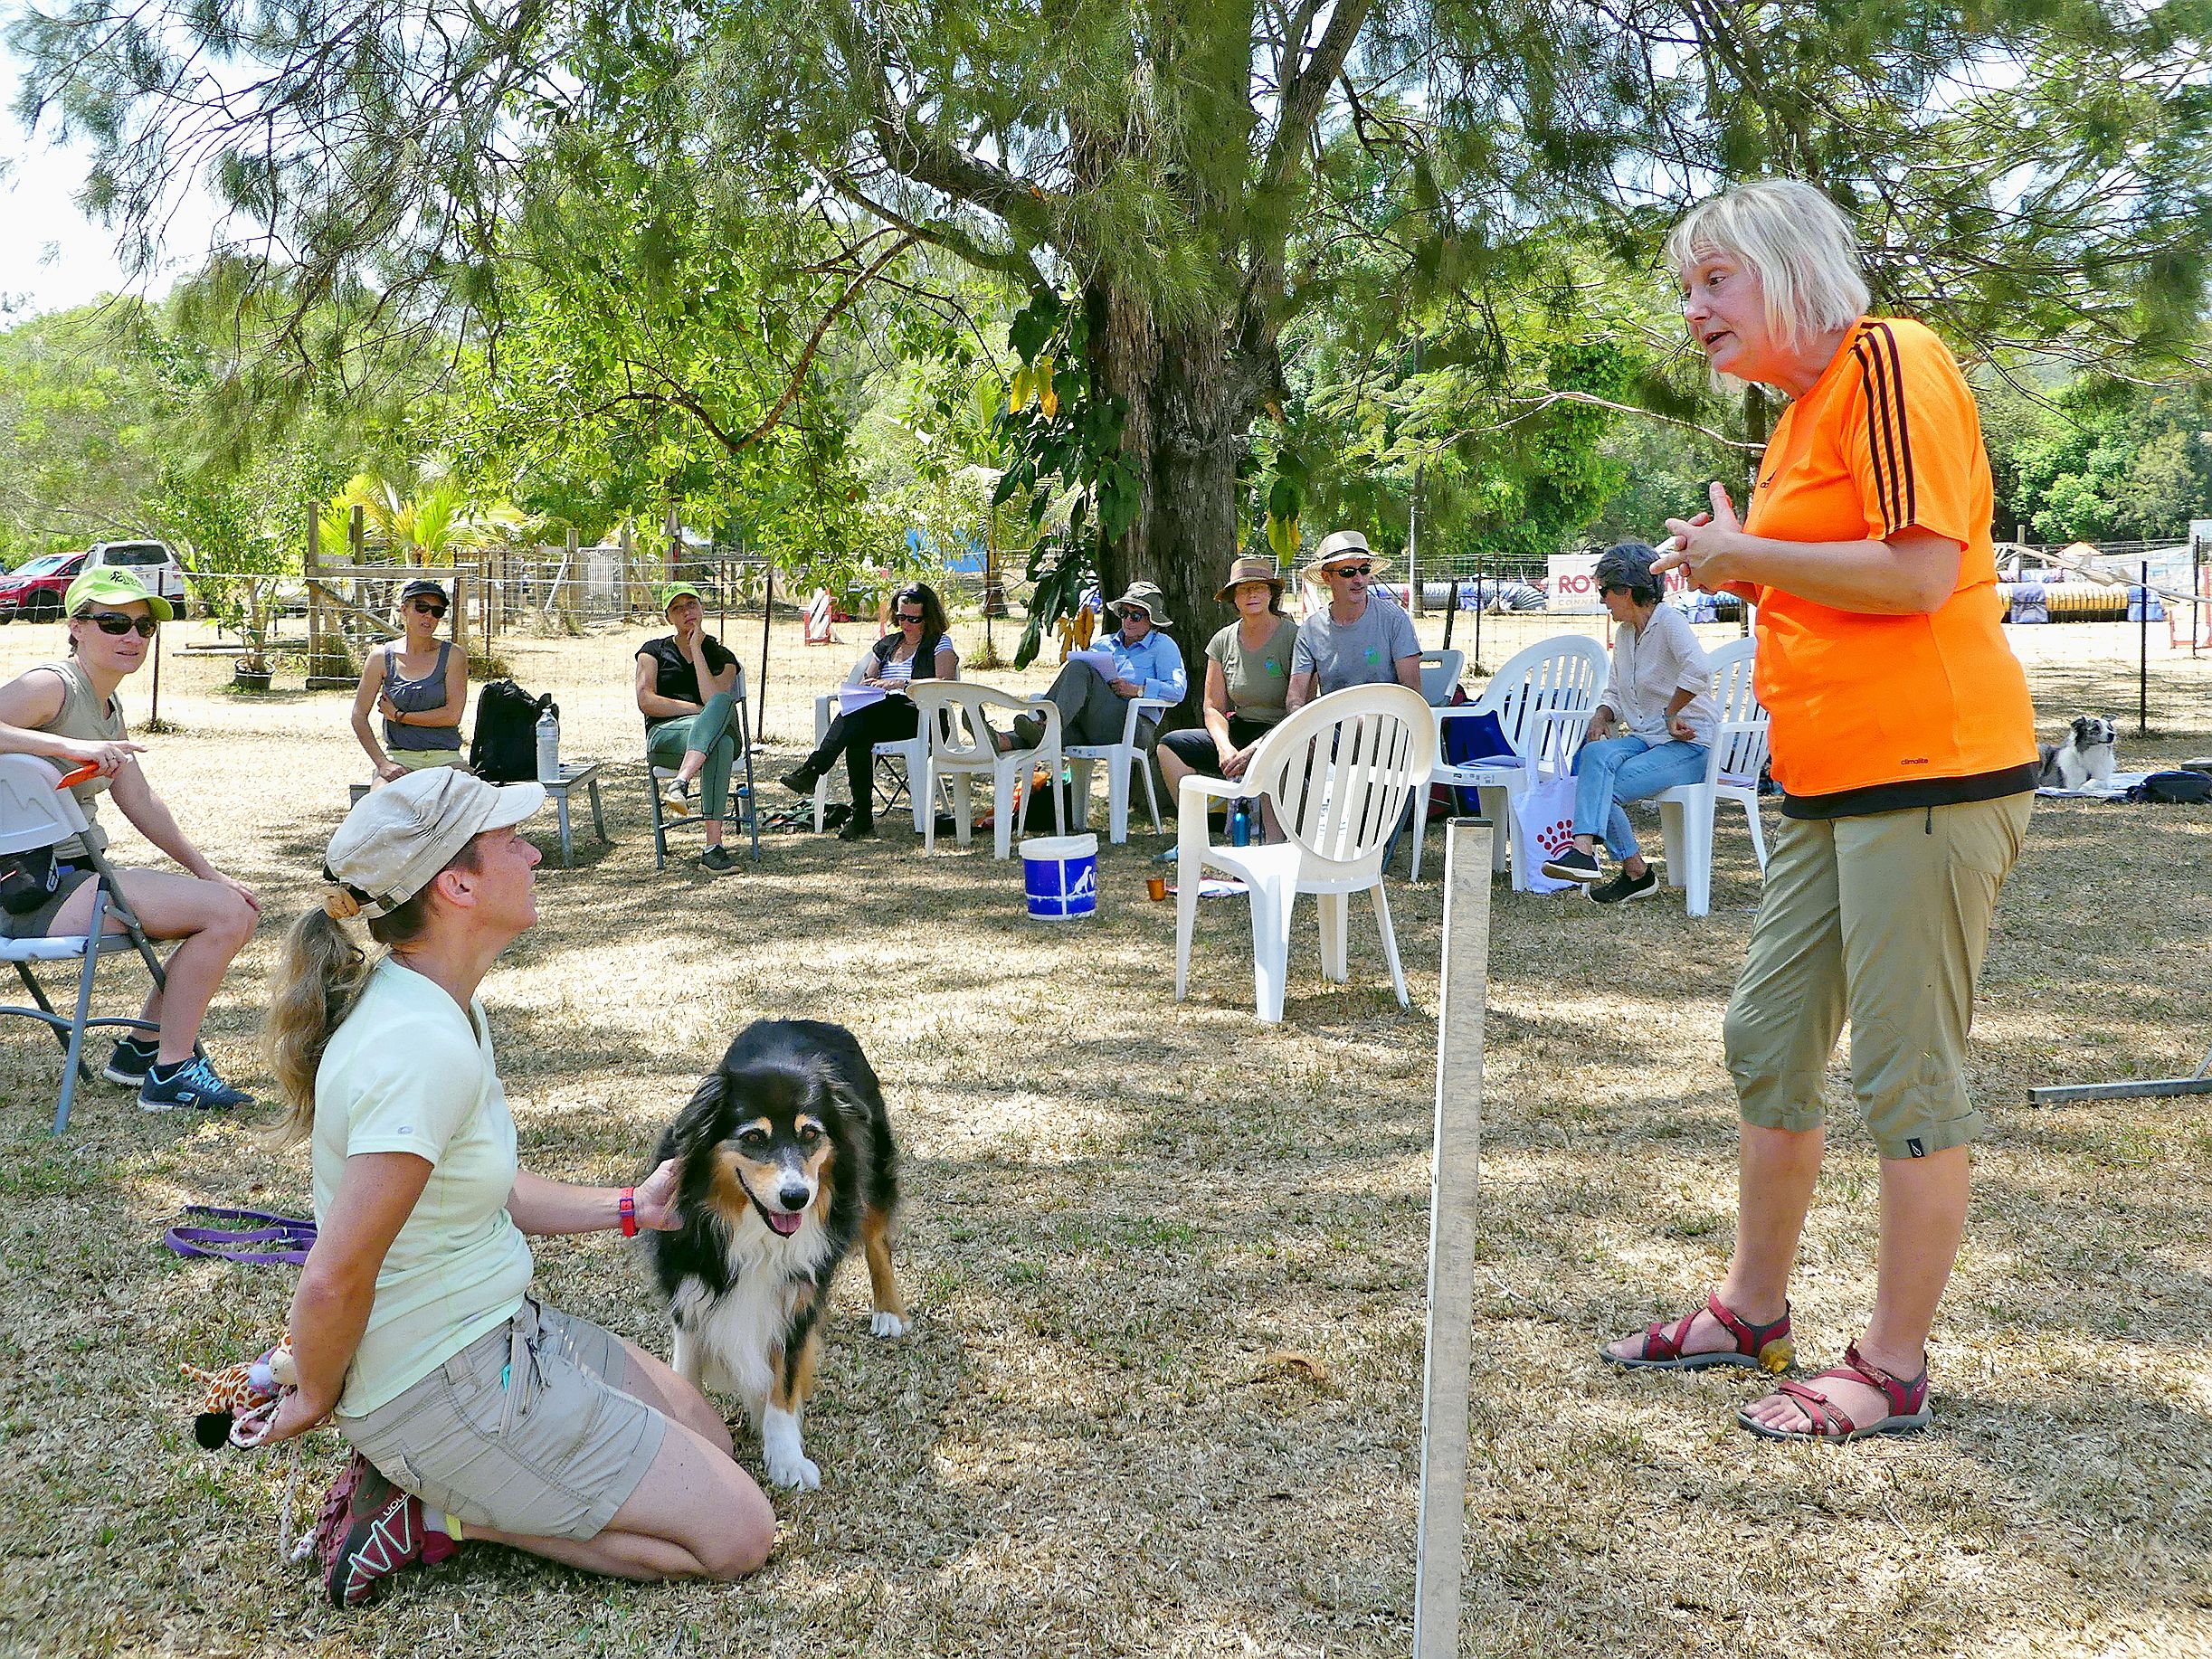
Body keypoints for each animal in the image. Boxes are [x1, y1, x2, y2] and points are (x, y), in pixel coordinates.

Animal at [645, 1021, 902, 1503]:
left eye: (810, 1134)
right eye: (753, 1137)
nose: (796, 1196)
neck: (756, 1234)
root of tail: (805, 1021)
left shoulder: (799, 1298)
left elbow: (784, 1382)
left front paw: (786, 1458)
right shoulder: (692, 1290)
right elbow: (687, 1370)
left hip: (874, 1168)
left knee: (877, 1240)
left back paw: (889, 1312)